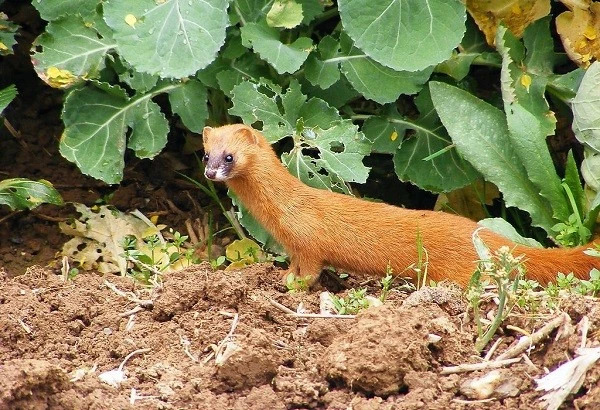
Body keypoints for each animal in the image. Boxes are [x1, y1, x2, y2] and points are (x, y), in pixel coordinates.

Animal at [203, 123, 600, 286]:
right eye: (207, 154)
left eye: (229, 156)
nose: (209, 172)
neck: (282, 212)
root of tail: (488, 235)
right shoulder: (294, 246)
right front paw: (285, 276)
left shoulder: (309, 241)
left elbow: (311, 269)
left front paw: (294, 285)